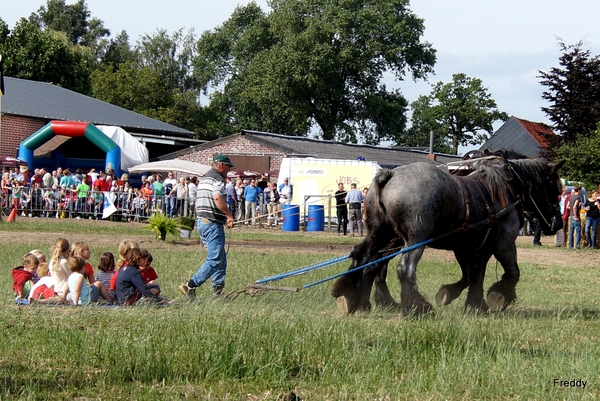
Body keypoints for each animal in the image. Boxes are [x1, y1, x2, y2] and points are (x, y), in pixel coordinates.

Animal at [330, 156, 564, 316]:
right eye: (556, 190)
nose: (558, 224)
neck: (506, 189)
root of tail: (390, 175)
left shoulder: (473, 247)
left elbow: (473, 275)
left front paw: (471, 303)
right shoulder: (503, 243)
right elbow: (512, 272)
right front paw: (497, 297)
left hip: (381, 234)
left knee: (365, 260)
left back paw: (357, 299)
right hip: (414, 239)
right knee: (403, 268)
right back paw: (416, 307)